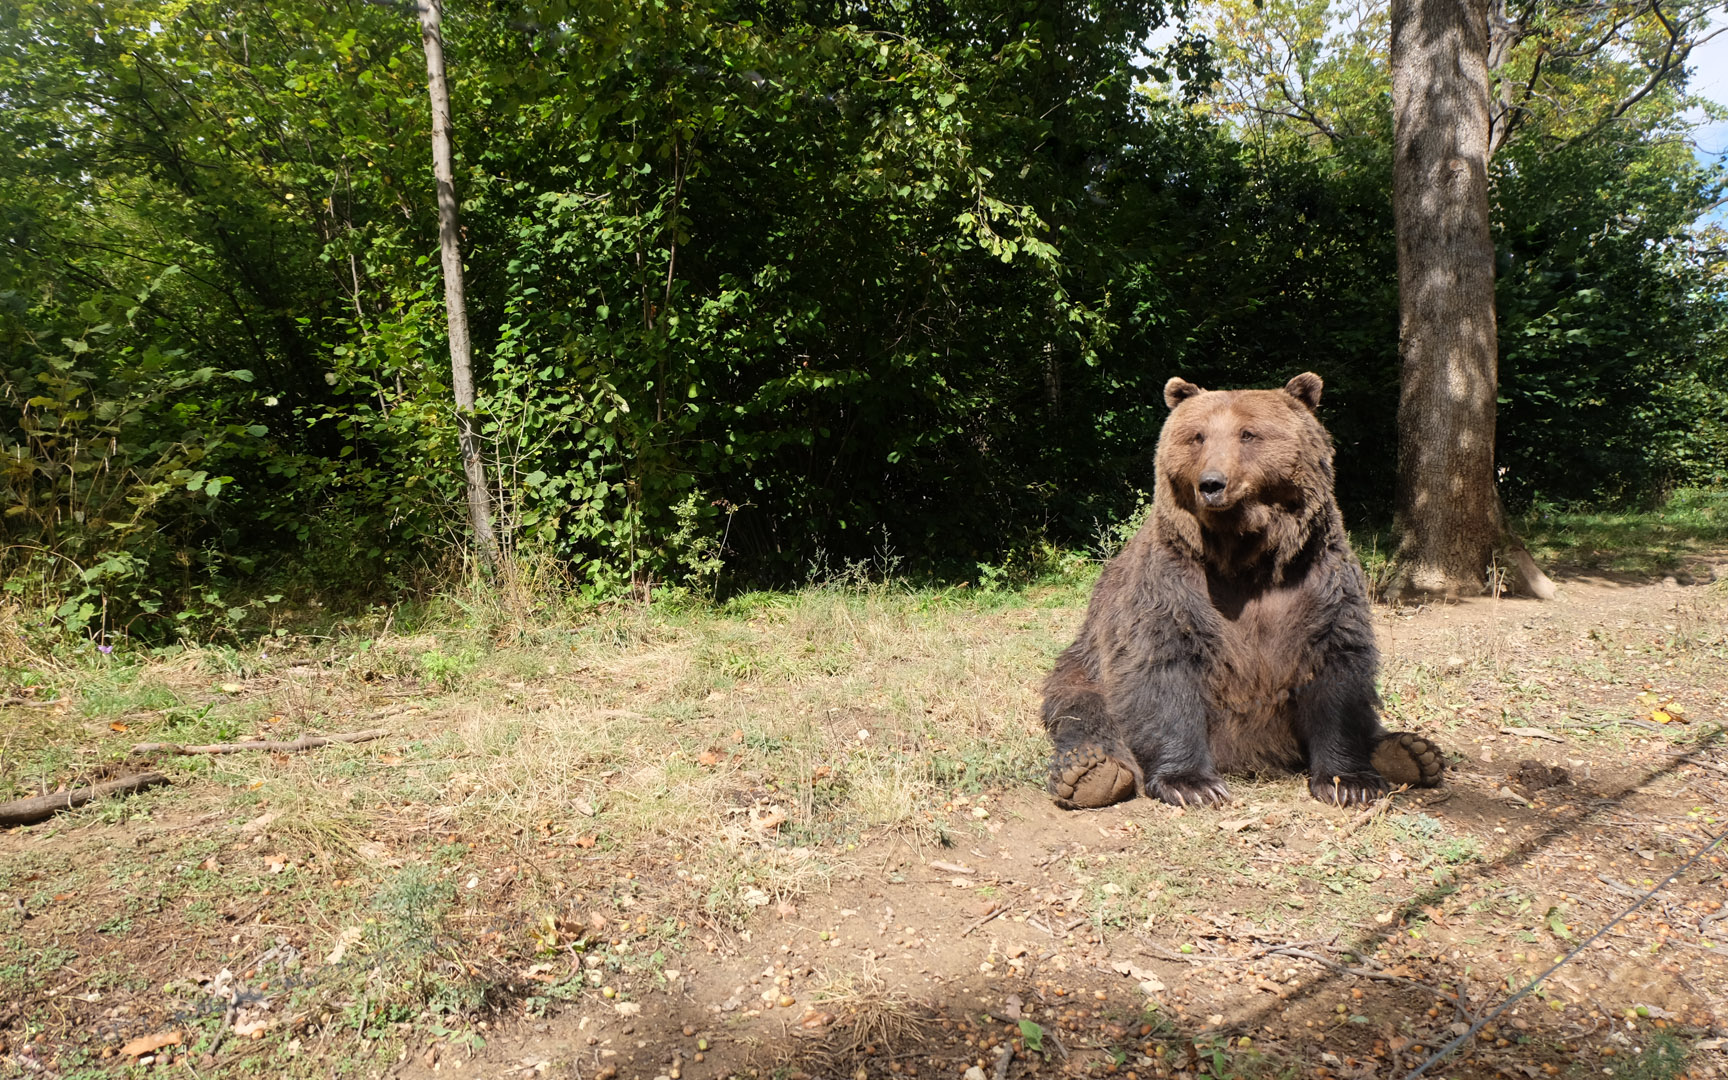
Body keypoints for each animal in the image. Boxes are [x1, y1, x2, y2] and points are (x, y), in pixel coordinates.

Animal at [1043, 374, 1437, 805]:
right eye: (1197, 436)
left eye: (1248, 433)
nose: (1212, 483)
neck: (1245, 558)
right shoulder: (1172, 587)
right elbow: (1163, 668)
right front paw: (1192, 784)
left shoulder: (1317, 582)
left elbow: (1337, 669)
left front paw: (1349, 782)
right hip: (1086, 664)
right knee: (1083, 707)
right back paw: (1091, 772)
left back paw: (1410, 752)